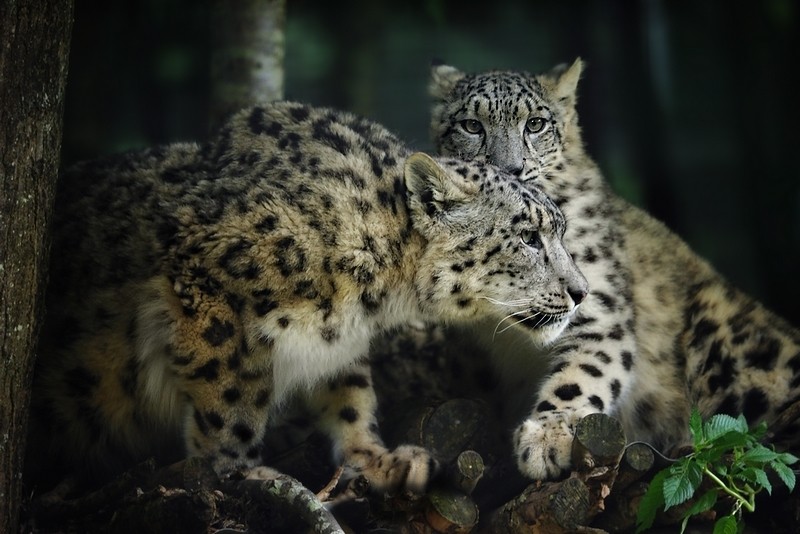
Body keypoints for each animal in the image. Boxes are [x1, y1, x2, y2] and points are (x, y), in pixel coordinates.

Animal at [25, 101, 588, 498]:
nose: (581, 291)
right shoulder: (205, 283)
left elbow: (350, 395)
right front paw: (236, 471)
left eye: (561, 230)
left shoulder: (341, 338)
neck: (374, 291)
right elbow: (231, 399)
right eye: (529, 237)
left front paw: (378, 459)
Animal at [428, 58, 800, 482]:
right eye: (472, 125)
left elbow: (583, 372)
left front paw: (547, 437)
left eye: (535, 124)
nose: (509, 169)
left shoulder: (596, 304)